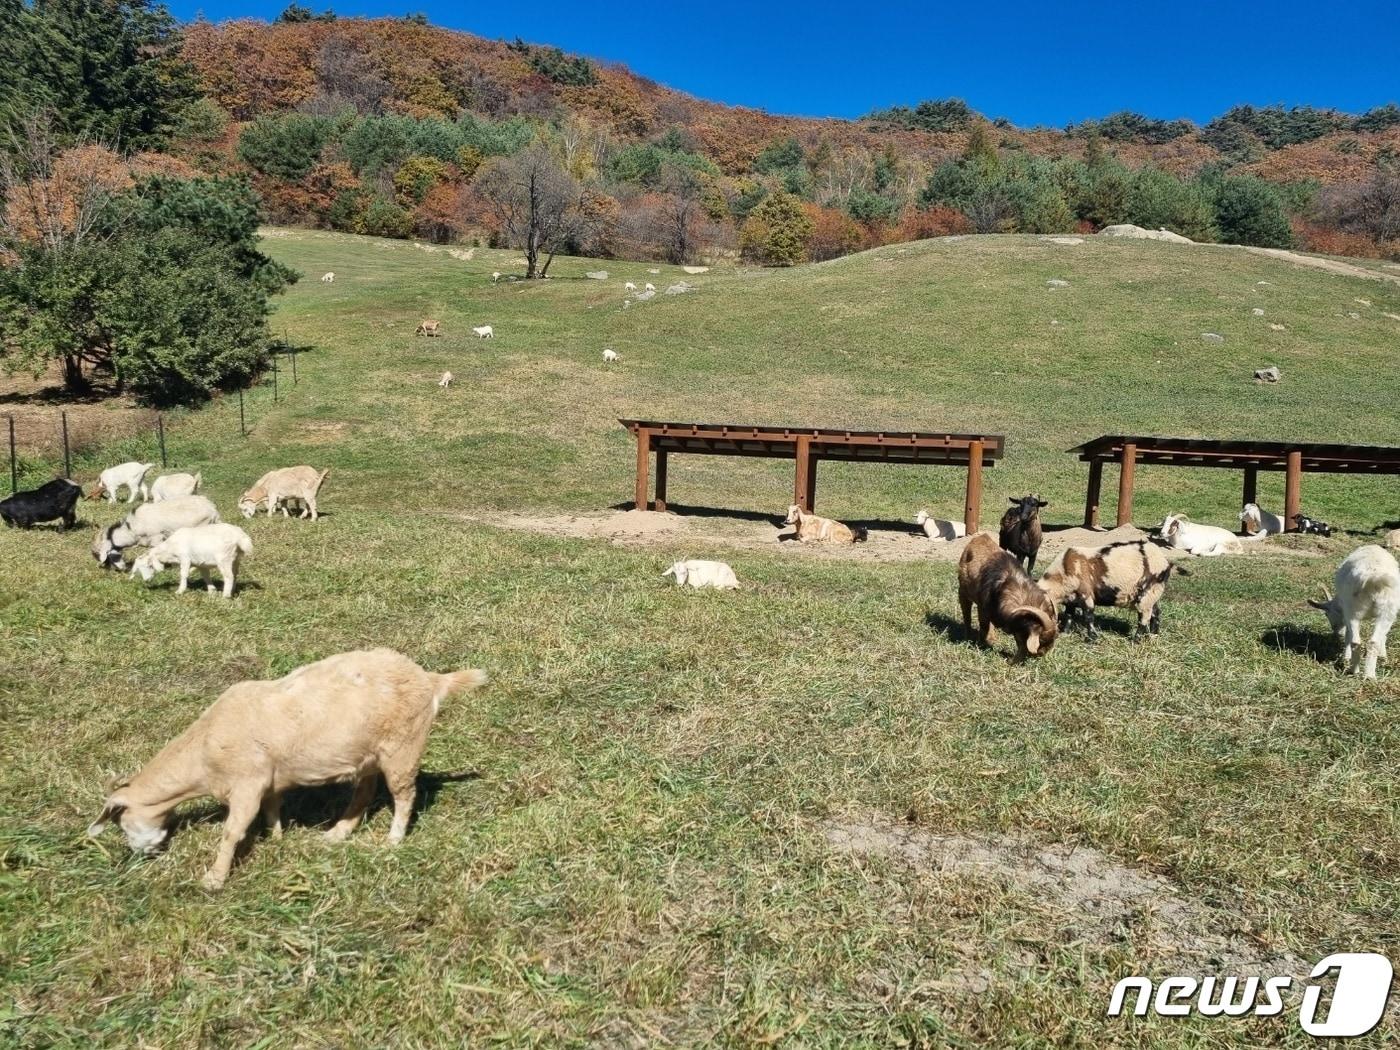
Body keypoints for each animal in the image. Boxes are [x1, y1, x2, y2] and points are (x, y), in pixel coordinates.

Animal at [87, 649, 490, 890]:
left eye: (121, 822)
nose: (143, 855)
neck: (202, 756)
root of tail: (432, 680)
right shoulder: (268, 781)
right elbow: (272, 808)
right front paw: (278, 838)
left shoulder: (247, 783)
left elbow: (232, 832)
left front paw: (214, 879)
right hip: (368, 753)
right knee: (364, 793)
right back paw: (337, 834)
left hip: (404, 746)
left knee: (405, 795)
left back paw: (393, 840)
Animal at [957, 534, 1052, 666]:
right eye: (1041, 639)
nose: (1041, 654)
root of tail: (980, 536)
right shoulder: (983, 607)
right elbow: (984, 626)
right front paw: (980, 644)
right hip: (963, 592)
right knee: (967, 615)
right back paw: (968, 636)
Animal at [1036, 543, 1176, 641]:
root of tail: (1165, 562)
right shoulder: (1070, 599)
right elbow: (1069, 615)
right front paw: (1065, 632)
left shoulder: (1086, 594)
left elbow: (1088, 617)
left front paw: (1092, 638)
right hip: (1154, 593)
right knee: (1156, 612)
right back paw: (1153, 634)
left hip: (1147, 594)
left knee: (1144, 616)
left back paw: (1136, 639)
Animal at [1304, 543, 1394, 683]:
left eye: (1327, 614)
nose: (1335, 632)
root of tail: (1372, 577)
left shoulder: (1345, 613)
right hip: (1379, 610)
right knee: (1366, 641)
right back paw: (1365, 674)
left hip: (1358, 610)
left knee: (1357, 641)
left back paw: (1358, 671)